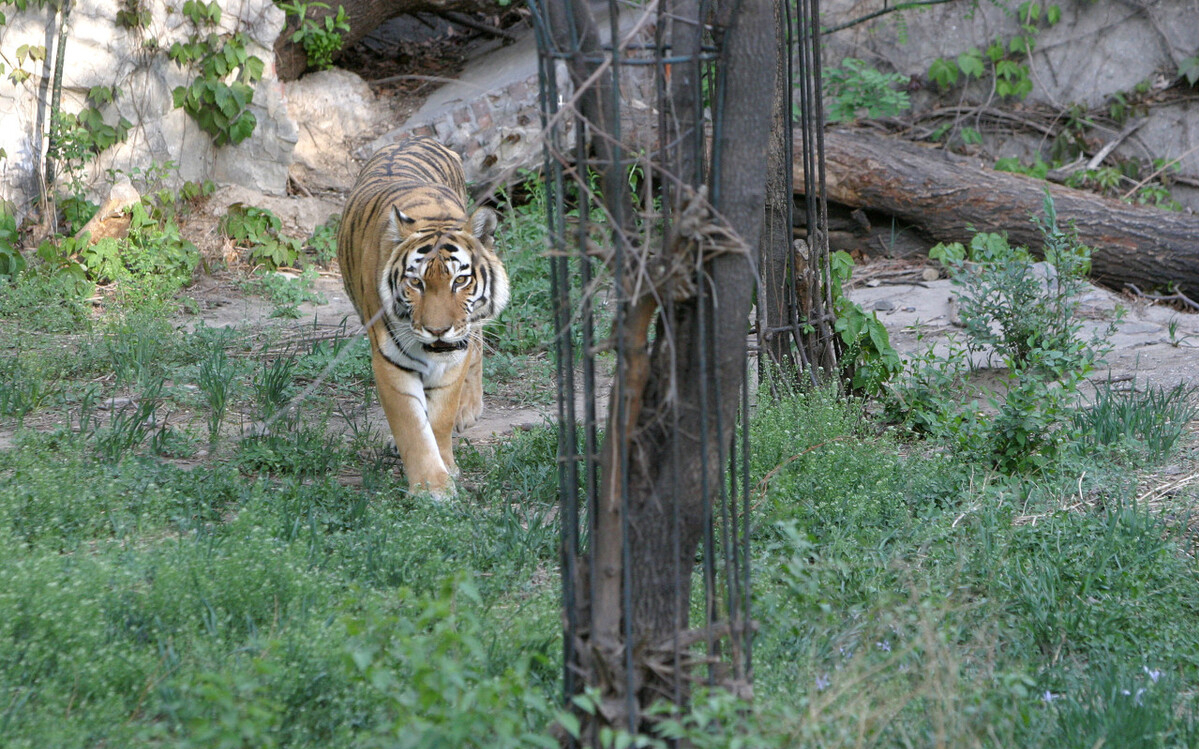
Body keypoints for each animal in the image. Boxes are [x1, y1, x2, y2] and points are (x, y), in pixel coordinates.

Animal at [335, 137, 508, 496]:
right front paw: (432, 487)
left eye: (460, 280)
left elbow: (439, 418)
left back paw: (469, 409)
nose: (437, 330)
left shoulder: (454, 357)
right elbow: (413, 426)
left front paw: (447, 468)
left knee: (478, 346)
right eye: (416, 283)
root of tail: (415, 137)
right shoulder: (390, 361)